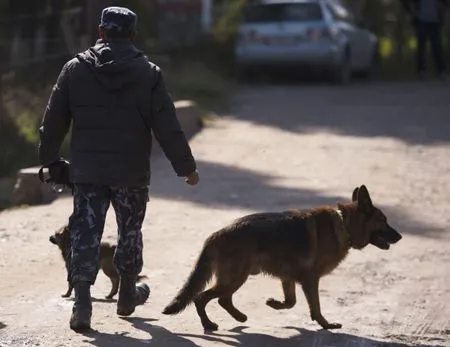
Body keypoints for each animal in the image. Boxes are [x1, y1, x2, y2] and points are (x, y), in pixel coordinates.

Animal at [163, 185, 402, 332]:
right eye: (384, 220)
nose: (400, 236)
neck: (344, 223)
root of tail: (217, 234)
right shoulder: (310, 280)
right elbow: (316, 306)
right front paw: (325, 325)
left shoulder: (289, 278)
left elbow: (291, 302)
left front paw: (275, 304)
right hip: (235, 278)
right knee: (201, 297)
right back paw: (209, 324)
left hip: (236, 278)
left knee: (222, 299)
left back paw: (239, 318)